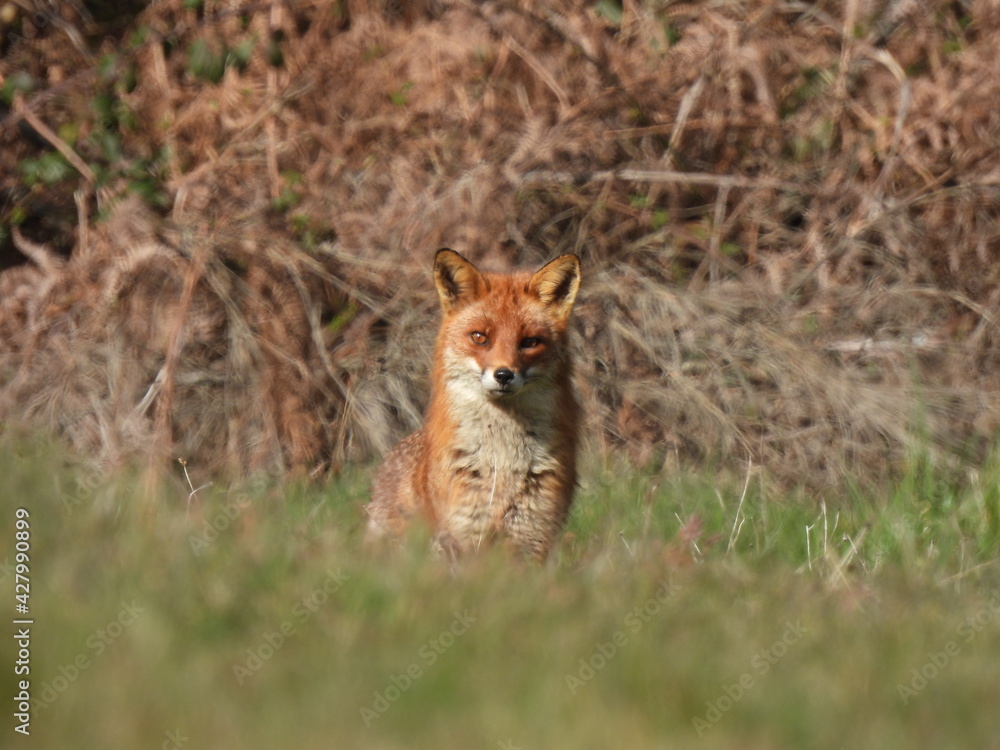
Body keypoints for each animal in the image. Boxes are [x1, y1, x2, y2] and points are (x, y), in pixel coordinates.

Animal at [366, 248, 582, 561]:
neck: (502, 465)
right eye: (480, 337)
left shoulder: (532, 537)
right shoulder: (464, 534)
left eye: (530, 342)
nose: (503, 375)